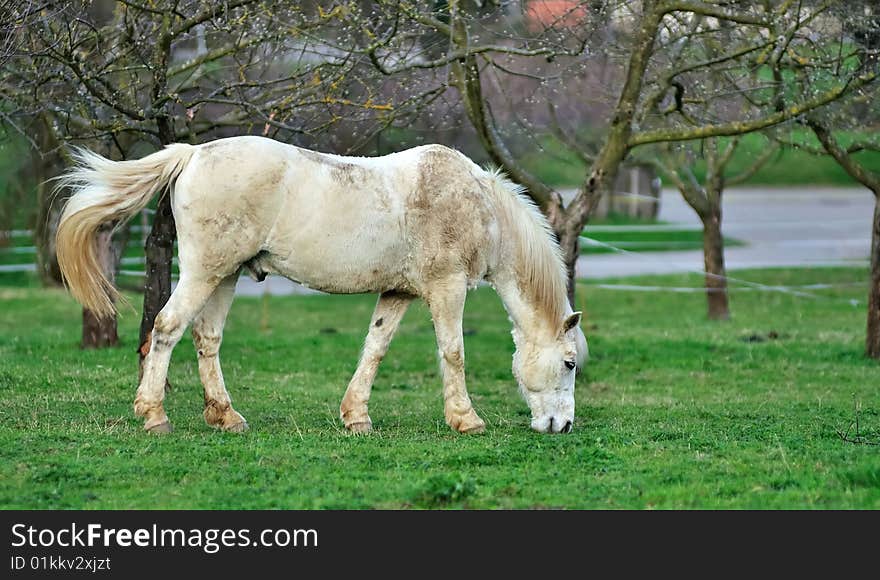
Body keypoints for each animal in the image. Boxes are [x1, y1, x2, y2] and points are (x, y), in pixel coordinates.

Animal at [58, 136, 588, 436]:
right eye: (569, 363)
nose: (562, 426)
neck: (475, 203)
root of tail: (193, 155)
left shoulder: (399, 293)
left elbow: (375, 348)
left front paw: (356, 417)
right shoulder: (447, 288)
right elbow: (453, 352)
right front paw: (465, 419)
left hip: (225, 276)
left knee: (206, 339)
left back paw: (225, 417)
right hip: (204, 273)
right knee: (166, 328)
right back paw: (153, 416)